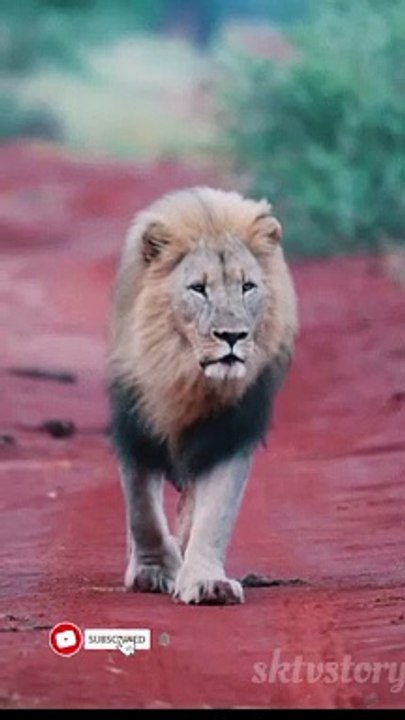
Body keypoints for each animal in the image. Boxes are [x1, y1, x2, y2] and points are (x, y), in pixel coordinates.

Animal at [108, 186, 298, 605]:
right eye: (198, 288)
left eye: (247, 286)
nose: (232, 336)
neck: (188, 378)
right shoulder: (135, 423)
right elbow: (141, 508)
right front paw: (153, 571)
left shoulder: (230, 433)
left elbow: (215, 516)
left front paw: (206, 582)